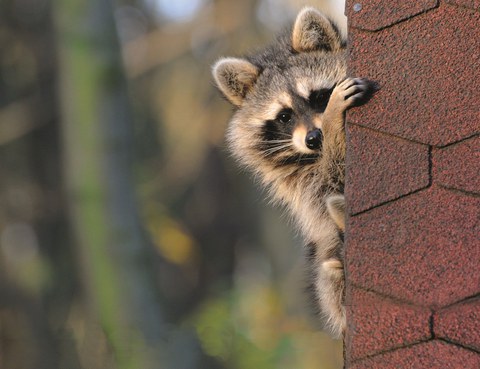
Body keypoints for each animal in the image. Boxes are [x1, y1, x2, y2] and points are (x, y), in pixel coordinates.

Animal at [213, 7, 376, 336]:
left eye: (318, 97)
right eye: (285, 117)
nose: (315, 137)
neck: (312, 156)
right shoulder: (300, 185)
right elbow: (330, 183)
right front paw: (333, 123)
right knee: (328, 275)